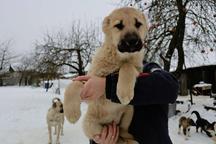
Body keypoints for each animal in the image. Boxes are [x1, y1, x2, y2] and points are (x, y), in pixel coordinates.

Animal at [63, 7, 148, 144]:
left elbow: (127, 66)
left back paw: (130, 141)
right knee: (116, 136)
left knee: (123, 132)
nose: (132, 41)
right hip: (89, 124)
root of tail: (112, 122)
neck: (118, 58)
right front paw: (72, 114)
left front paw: (124, 92)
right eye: (118, 25)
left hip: (129, 110)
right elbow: (74, 84)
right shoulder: (90, 83)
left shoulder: (137, 69)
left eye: (138, 24)